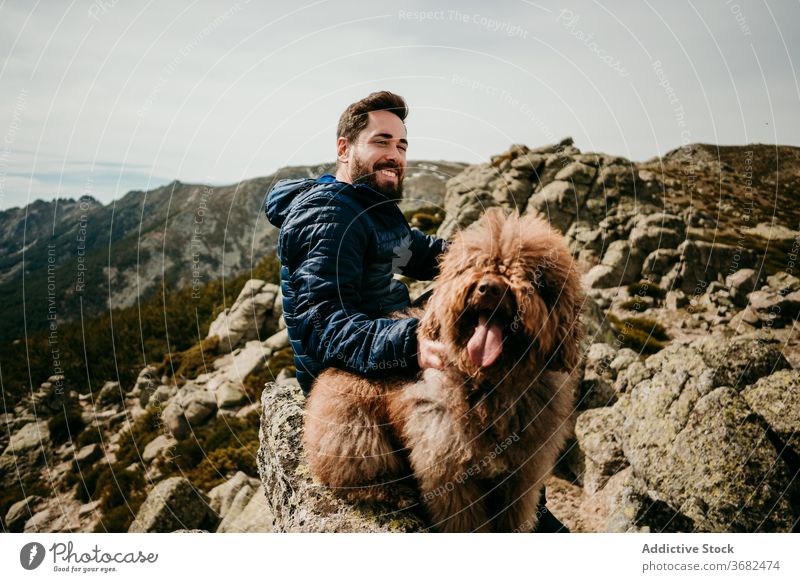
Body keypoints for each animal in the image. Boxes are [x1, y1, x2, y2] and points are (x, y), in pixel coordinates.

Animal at [304, 210, 584, 532]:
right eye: (474, 265)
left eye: (529, 275)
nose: (488, 288)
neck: (490, 386)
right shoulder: (448, 471)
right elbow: (464, 520)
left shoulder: (521, 474)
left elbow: (512, 514)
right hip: (353, 427)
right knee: (356, 470)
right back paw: (391, 492)